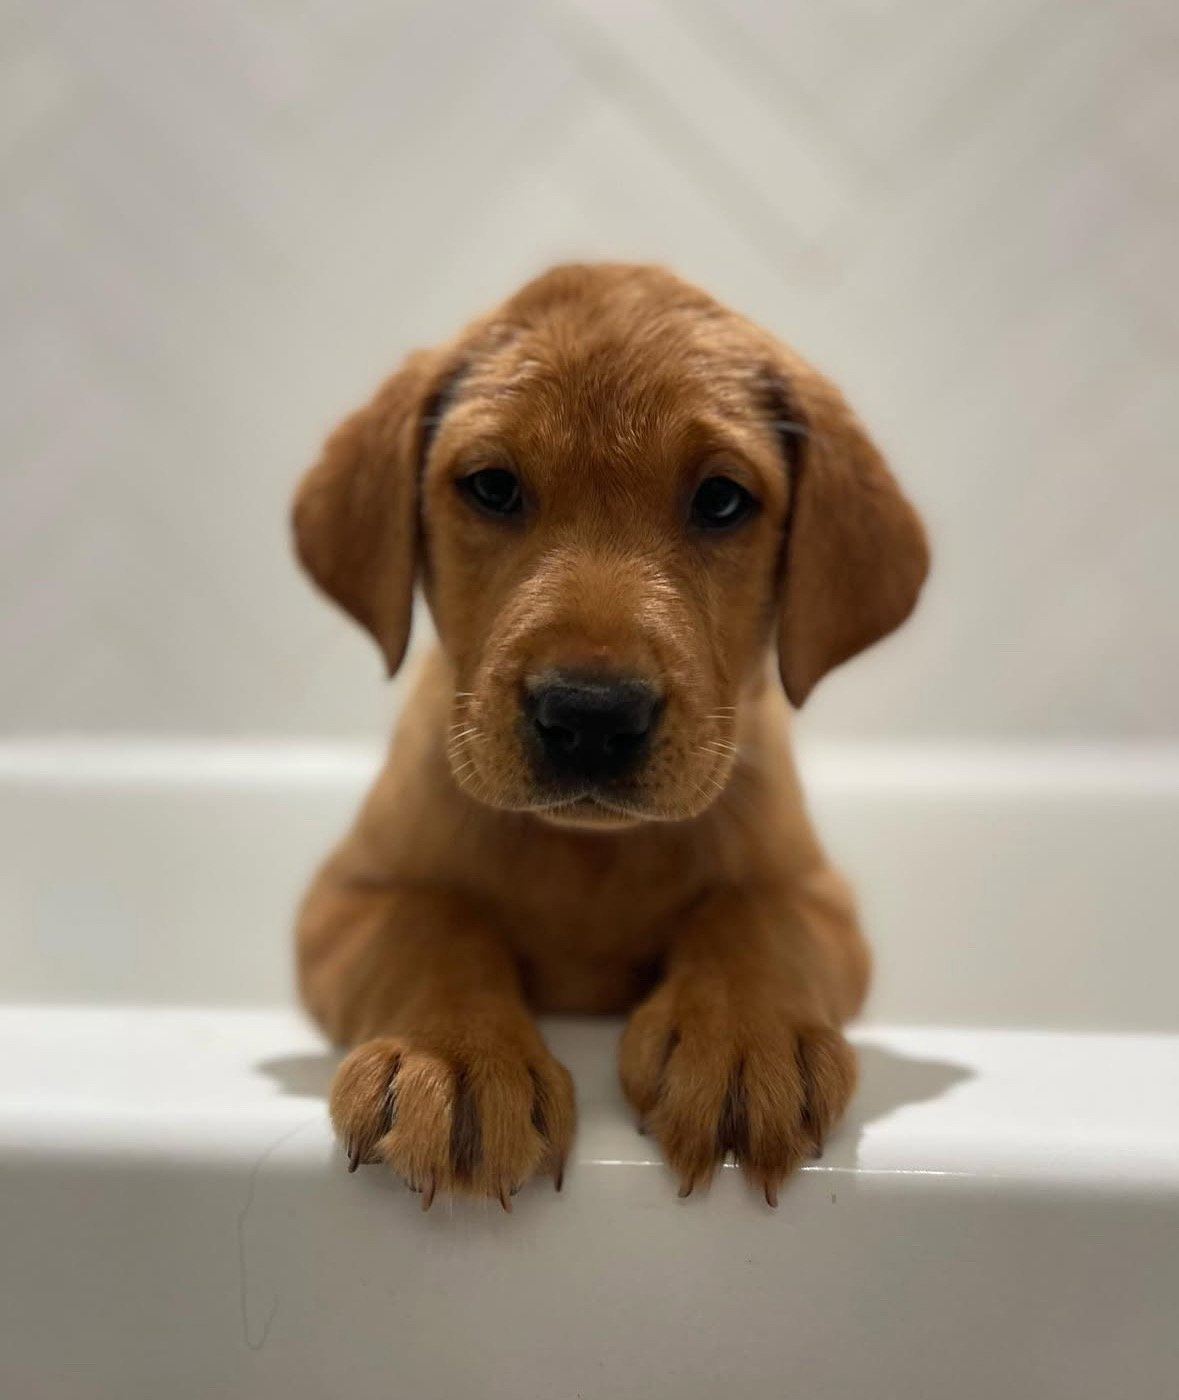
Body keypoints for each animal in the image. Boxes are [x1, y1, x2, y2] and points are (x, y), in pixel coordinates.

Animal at [292, 263, 928, 1209]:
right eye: (492, 487)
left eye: (721, 500)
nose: (590, 716)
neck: (587, 856)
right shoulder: (344, 899)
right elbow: (431, 925)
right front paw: (457, 1058)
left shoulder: (817, 897)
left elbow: (750, 914)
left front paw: (741, 1038)